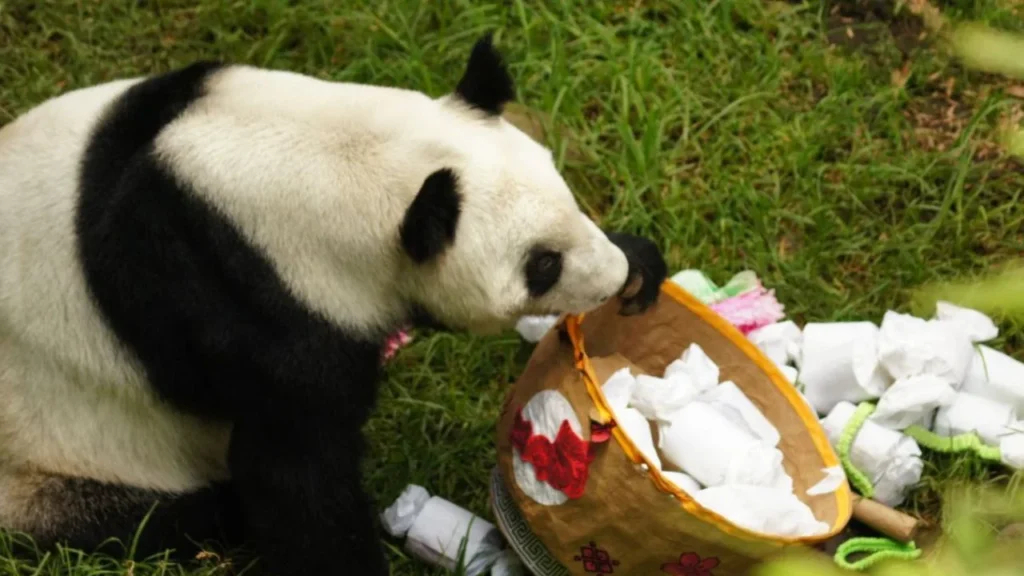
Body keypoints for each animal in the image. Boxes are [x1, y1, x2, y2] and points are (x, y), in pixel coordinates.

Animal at [0, 34, 667, 574]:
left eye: (569, 197)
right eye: (542, 265)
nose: (610, 278)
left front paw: (639, 263)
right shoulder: (236, 298)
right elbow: (291, 467)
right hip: (64, 456)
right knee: (153, 518)